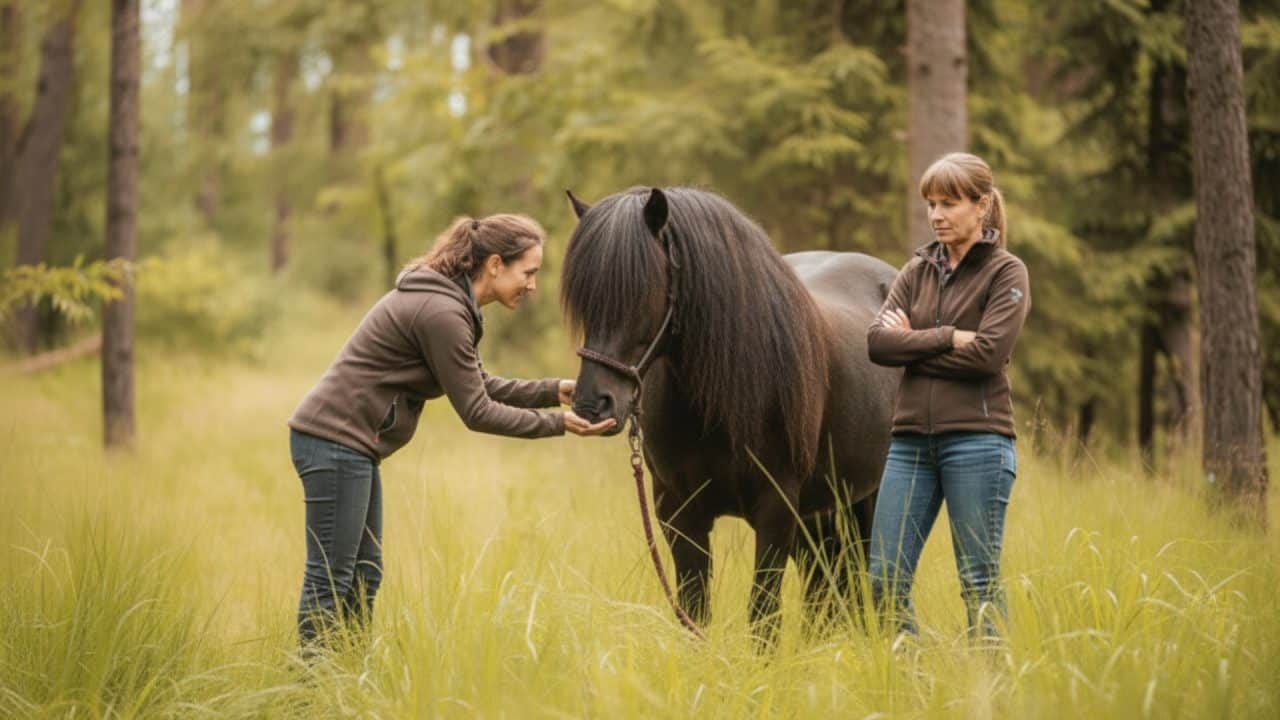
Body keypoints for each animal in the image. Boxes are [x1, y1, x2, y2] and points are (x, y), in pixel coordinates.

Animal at [561, 186, 900, 642]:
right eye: (584, 300)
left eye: (643, 291)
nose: (591, 405)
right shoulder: (679, 515)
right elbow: (694, 612)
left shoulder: (775, 510)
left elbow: (763, 617)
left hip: (871, 495)